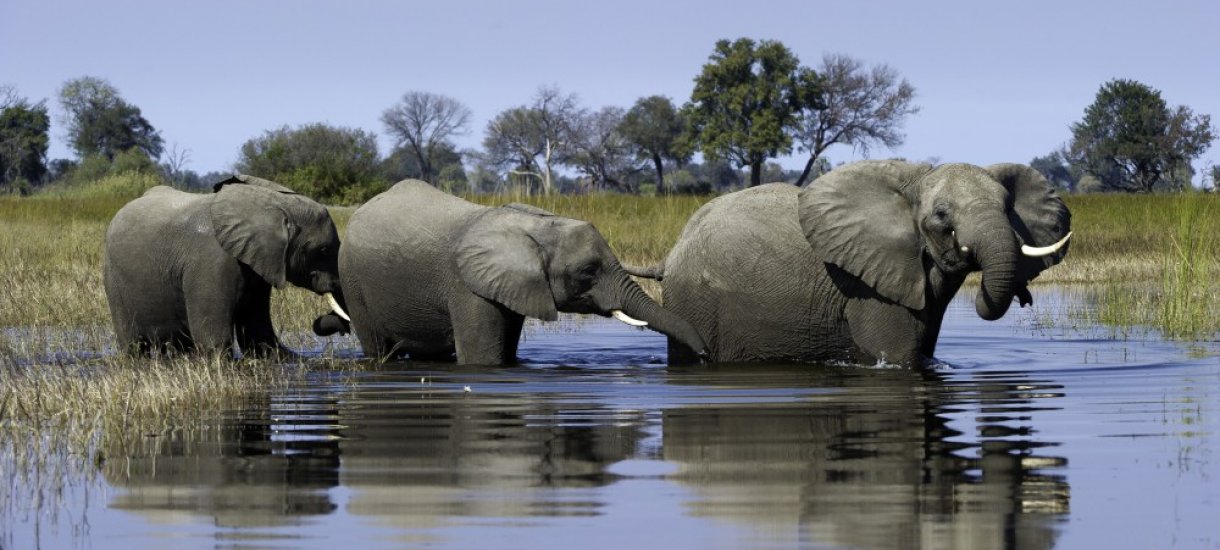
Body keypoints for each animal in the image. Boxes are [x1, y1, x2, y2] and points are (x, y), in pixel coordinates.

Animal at [103, 176, 348, 358]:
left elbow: (259, 336)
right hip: (113, 281)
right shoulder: (212, 260)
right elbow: (214, 341)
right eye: (323, 250)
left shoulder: (258, 263)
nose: (344, 330)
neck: (270, 208)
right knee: (133, 346)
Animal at [314, 180, 712, 365]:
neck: (535, 226)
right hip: (354, 279)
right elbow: (483, 359)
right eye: (587, 271)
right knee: (377, 347)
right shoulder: (468, 287)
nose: (706, 355)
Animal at [634, 160, 1073, 365]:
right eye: (941, 215)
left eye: (1009, 207)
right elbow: (900, 357)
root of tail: (672, 252)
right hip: (696, 300)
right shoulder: (868, 288)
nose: (1024, 297)